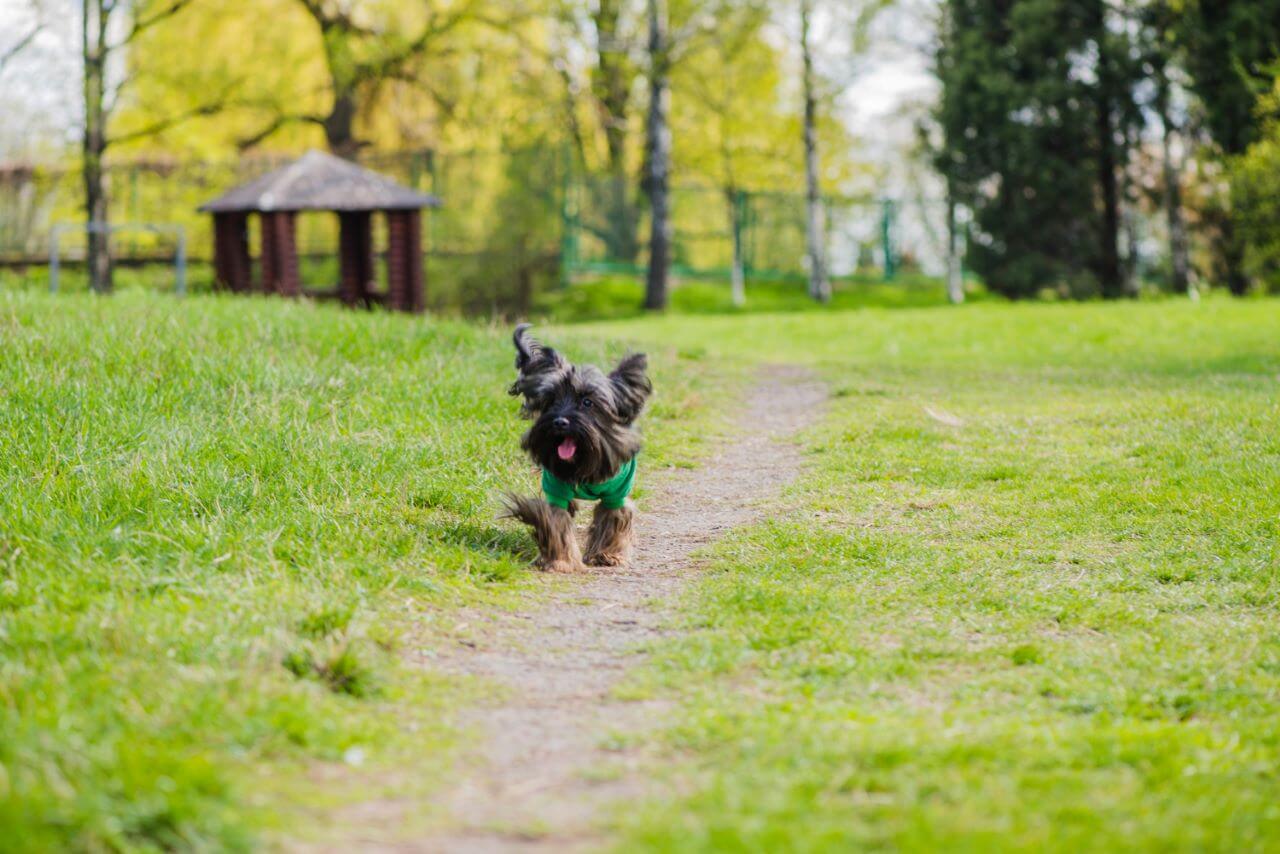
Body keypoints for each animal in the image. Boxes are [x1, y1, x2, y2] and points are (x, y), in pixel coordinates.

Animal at [504, 323, 655, 571]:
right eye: (551, 400)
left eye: (587, 402)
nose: (559, 422)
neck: (585, 462)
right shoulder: (556, 488)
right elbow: (555, 521)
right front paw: (560, 560)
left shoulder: (617, 493)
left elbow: (613, 518)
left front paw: (607, 554)